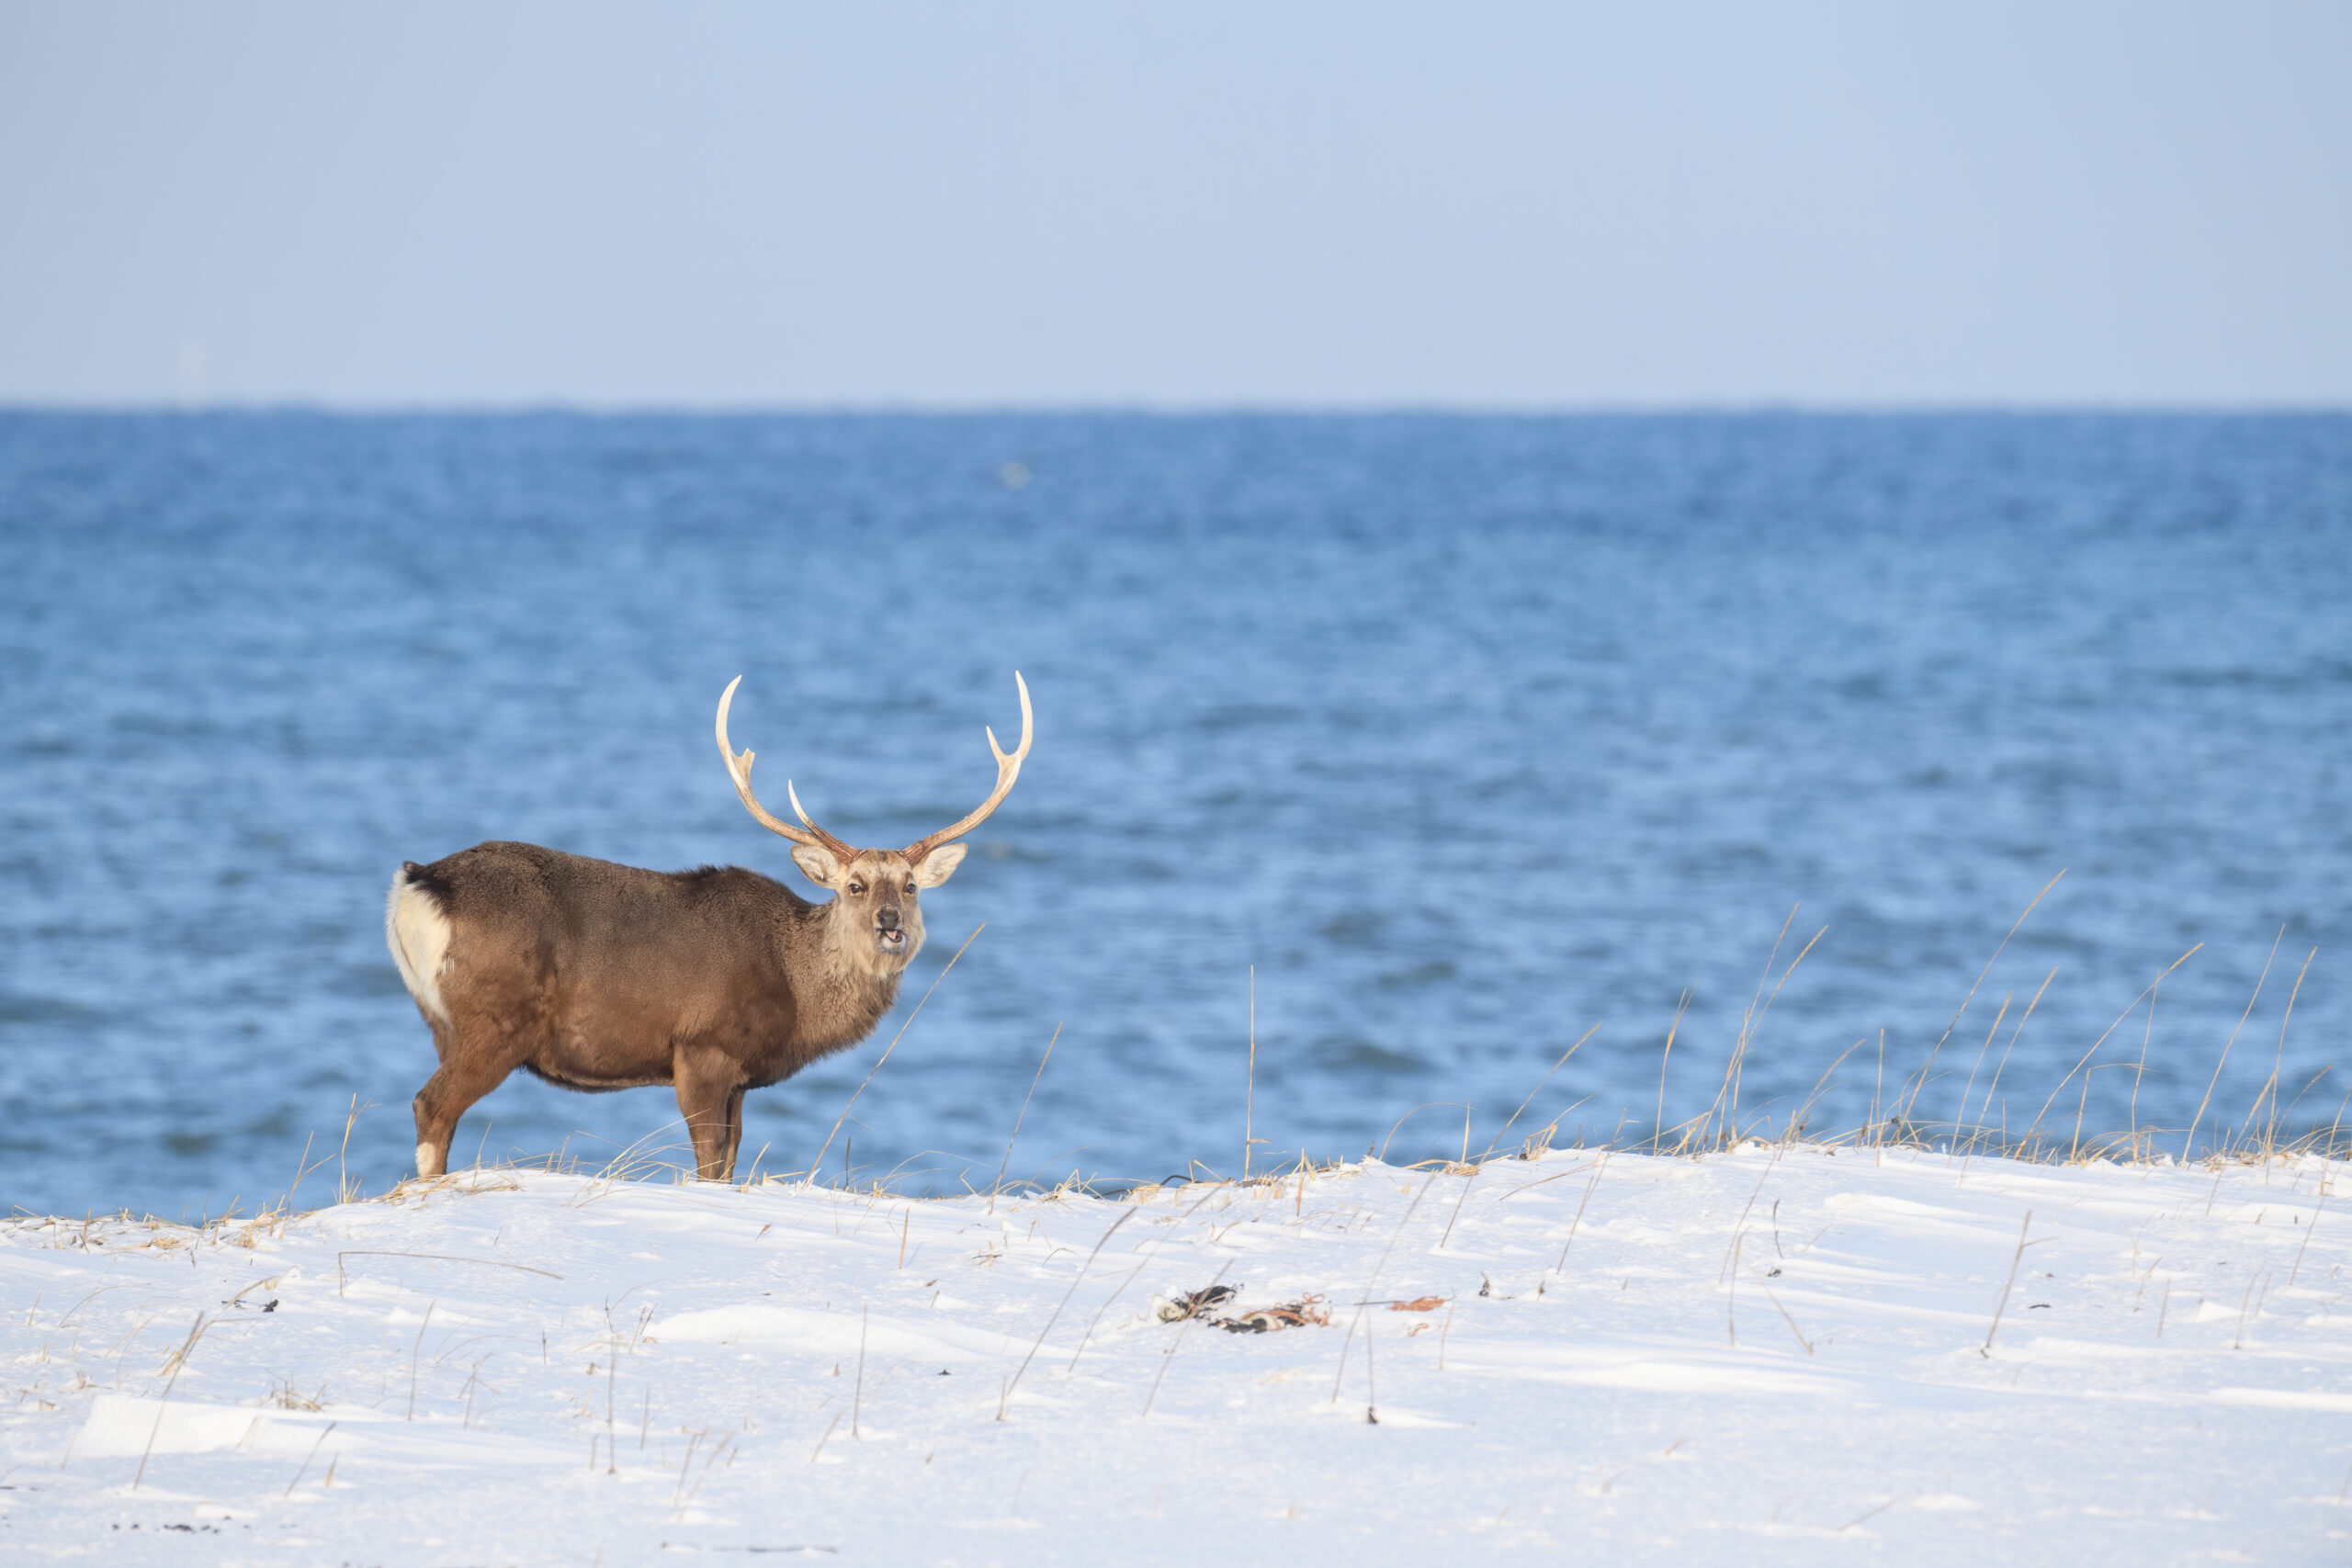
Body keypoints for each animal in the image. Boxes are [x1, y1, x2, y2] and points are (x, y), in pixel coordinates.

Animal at [384, 673, 1031, 1183]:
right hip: (493, 1018)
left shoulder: (741, 1078)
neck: (795, 985)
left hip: (442, 1021)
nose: (891, 923)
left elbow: (731, 1161)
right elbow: (709, 1163)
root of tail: (416, 884)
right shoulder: (703, 1048)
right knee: (431, 1106)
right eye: (855, 886)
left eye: (911, 885)